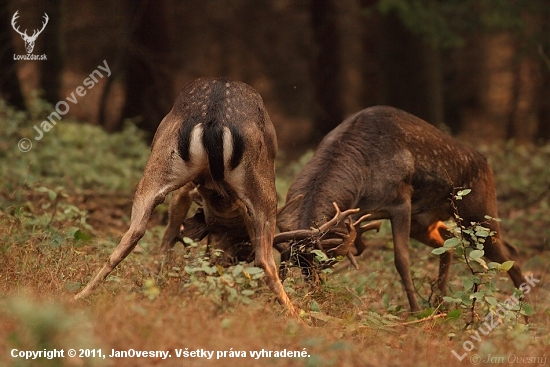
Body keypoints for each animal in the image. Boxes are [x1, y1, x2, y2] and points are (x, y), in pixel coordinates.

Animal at [75, 77, 298, 316]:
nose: (220, 260)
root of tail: (214, 123)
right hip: (264, 184)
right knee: (264, 259)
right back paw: (297, 316)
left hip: (160, 161)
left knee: (134, 232)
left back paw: (82, 294)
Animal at [280, 106, 528, 314]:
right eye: (299, 265)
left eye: (322, 262)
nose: (316, 294)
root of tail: (487, 164)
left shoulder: (400, 202)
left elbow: (402, 260)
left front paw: (415, 312)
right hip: (425, 222)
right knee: (449, 245)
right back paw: (439, 304)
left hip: (478, 214)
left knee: (511, 255)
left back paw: (525, 318)